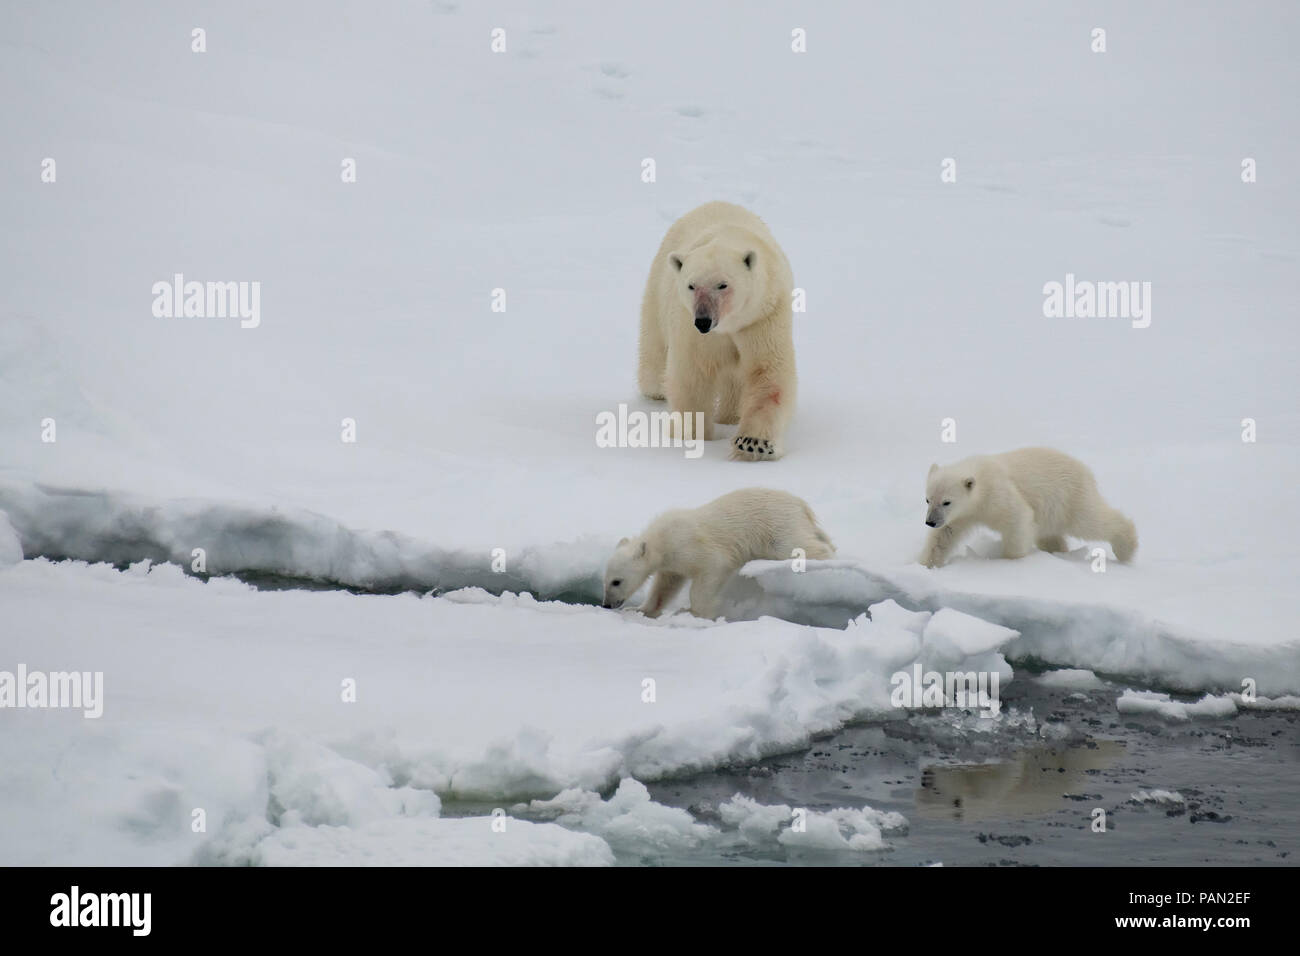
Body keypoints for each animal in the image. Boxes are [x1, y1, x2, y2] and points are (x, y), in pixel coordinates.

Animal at [637, 201, 795, 460]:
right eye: (691, 285)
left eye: (723, 285)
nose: (703, 320)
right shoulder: (691, 328)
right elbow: (693, 376)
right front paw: (692, 436)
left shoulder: (762, 317)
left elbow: (768, 374)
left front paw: (753, 444)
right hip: (658, 291)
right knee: (654, 353)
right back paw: (655, 392)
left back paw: (729, 417)